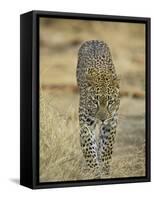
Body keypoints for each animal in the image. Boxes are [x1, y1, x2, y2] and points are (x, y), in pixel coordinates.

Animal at [76, 39, 119, 177]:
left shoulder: (111, 123)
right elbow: (89, 148)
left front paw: (105, 170)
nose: (102, 119)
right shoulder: (86, 125)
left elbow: (106, 149)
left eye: (110, 102)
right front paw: (94, 171)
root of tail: (93, 40)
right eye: (95, 102)